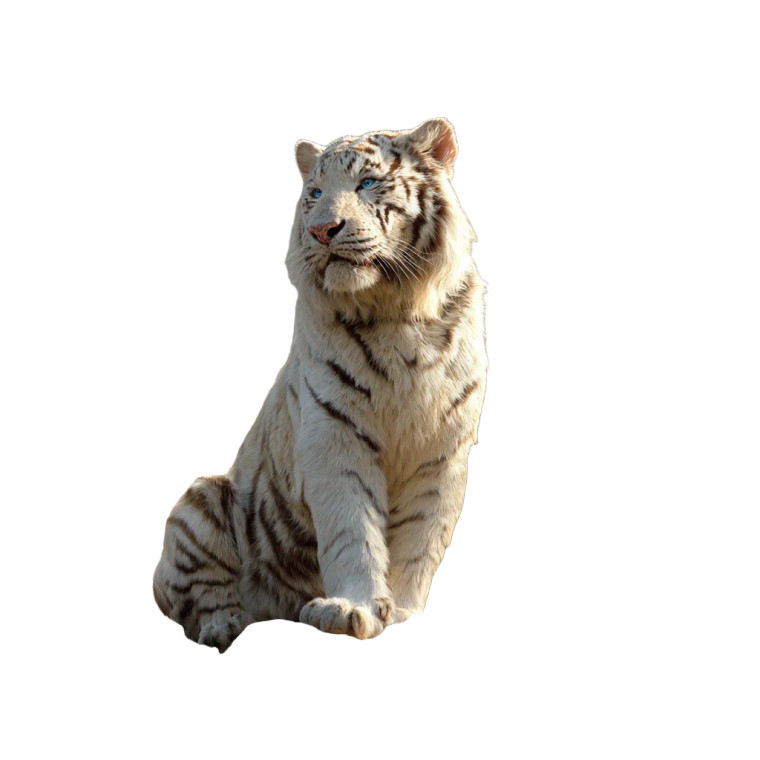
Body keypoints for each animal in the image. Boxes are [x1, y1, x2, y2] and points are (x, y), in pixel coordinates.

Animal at [153, 118, 487, 651]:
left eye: (367, 183)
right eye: (314, 193)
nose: (321, 230)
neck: (398, 312)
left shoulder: (443, 449)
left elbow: (421, 537)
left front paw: (404, 614)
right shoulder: (333, 432)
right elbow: (352, 526)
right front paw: (352, 609)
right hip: (198, 503)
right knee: (198, 597)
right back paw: (224, 626)